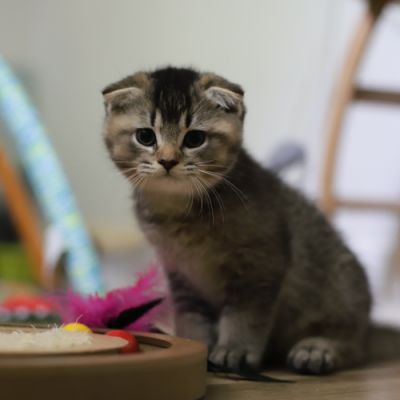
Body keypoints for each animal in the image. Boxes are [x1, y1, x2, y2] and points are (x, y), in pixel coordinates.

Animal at [101, 66, 372, 375]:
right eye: (145, 136)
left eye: (194, 139)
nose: (167, 161)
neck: (180, 213)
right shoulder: (180, 273)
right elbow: (190, 316)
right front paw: (194, 344)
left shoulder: (261, 266)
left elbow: (245, 315)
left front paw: (235, 350)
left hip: (341, 286)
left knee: (355, 344)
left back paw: (318, 348)